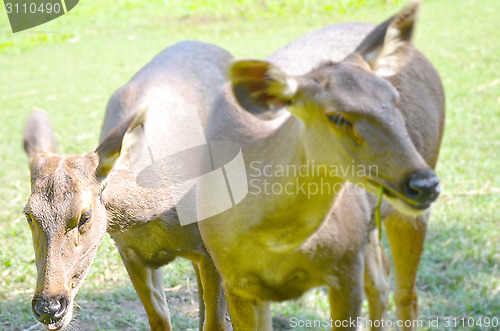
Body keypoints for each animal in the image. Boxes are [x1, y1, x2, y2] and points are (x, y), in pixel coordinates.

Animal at [22, 40, 233, 330]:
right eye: (29, 215)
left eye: (85, 215)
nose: (48, 307)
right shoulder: (129, 253)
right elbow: (159, 318)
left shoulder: (208, 246)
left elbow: (215, 322)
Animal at [197, 1, 444, 330]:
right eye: (337, 116)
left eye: (395, 99)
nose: (425, 184)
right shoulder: (234, 279)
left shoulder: (346, 266)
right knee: (381, 279)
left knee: (405, 294)